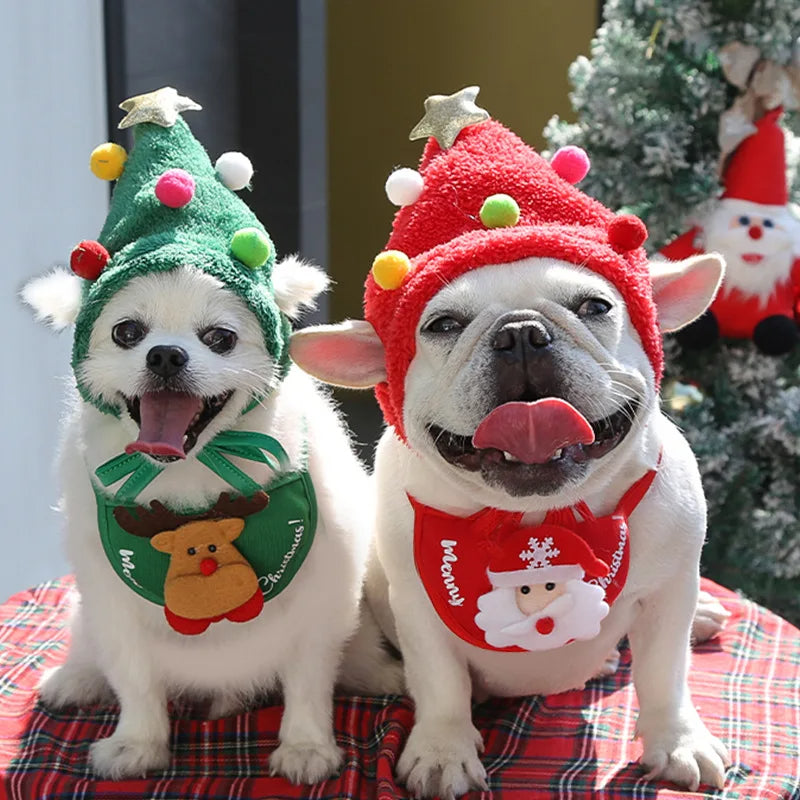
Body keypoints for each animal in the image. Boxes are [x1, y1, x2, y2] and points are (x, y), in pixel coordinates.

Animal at [23, 260, 400, 784]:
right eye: (127, 332)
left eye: (220, 338)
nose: (164, 355)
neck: (192, 477)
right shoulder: (112, 603)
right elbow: (133, 678)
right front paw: (138, 743)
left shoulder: (322, 601)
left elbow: (309, 679)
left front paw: (306, 746)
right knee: (88, 645)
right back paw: (75, 678)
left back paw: (380, 674)